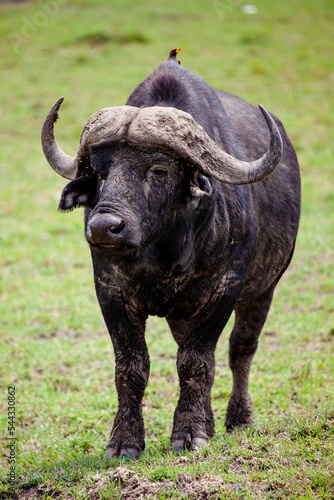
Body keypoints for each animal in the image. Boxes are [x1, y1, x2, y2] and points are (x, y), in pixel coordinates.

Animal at [41, 49, 300, 458]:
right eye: (98, 171)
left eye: (159, 170)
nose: (103, 227)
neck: (164, 254)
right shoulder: (110, 292)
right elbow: (132, 366)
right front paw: (124, 441)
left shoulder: (223, 290)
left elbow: (196, 362)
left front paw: (190, 434)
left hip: (265, 288)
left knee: (240, 350)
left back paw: (238, 419)